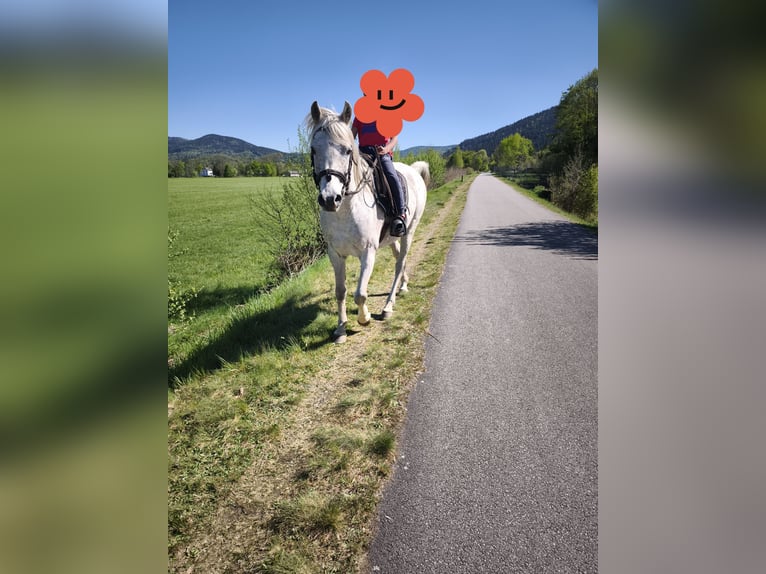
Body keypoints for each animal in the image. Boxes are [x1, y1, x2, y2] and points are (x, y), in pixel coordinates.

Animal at [307, 101, 430, 343]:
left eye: (347, 150)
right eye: (314, 150)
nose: (329, 199)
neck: (346, 210)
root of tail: (413, 171)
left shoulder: (368, 252)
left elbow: (360, 294)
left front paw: (364, 318)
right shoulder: (335, 254)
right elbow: (341, 291)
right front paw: (341, 329)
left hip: (409, 231)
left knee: (399, 263)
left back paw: (388, 306)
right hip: (393, 237)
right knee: (398, 256)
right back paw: (403, 285)